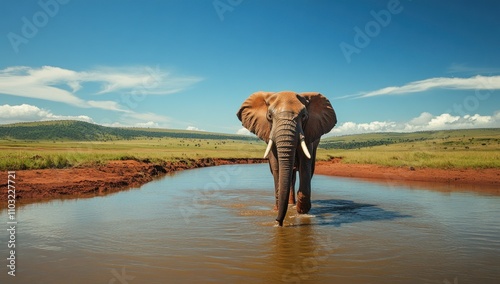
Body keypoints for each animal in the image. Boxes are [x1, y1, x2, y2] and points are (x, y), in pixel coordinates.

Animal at [237, 91, 336, 226]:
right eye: (269, 116)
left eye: (304, 116)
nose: (278, 222)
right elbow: (276, 167)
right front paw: (279, 209)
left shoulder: (309, 133)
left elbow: (305, 165)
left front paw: (302, 212)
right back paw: (289, 204)